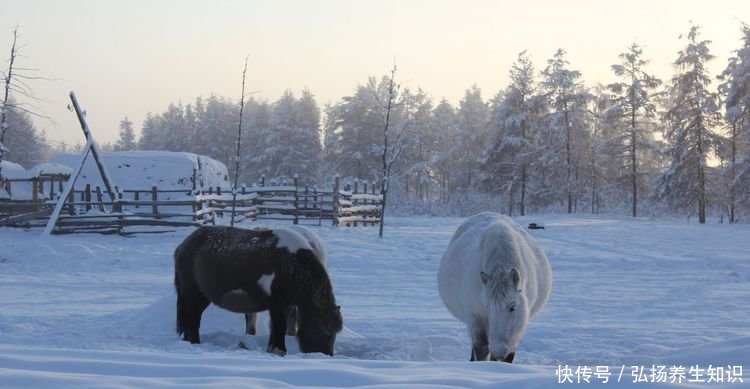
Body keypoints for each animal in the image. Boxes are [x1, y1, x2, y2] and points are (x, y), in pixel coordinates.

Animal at [175, 224, 342, 354]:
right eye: (326, 330)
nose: (326, 355)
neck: (292, 265)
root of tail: (183, 246)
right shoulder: (277, 305)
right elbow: (279, 327)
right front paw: (279, 350)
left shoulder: (286, 305)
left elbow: (276, 328)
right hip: (193, 296)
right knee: (193, 319)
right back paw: (194, 342)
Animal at [440, 212, 552, 360]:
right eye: (487, 307)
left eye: (512, 307)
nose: (498, 350)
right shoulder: (475, 317)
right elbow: (480, 348)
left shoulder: (517, 327)